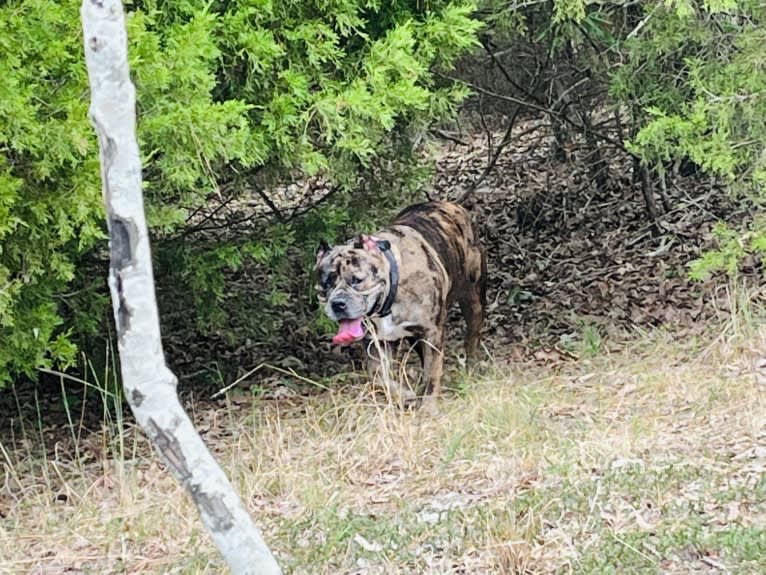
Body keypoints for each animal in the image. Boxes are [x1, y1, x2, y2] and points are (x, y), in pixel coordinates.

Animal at [316, 201, 486, 404]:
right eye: (326, 284)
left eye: (357, 280)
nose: (338, 303)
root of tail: (451, 205)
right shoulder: (376, 343)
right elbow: (379, 377)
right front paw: (406, 396)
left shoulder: (432, 333)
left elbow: (432, 375)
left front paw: (428, 407)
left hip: (473, 300)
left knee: (472, 337)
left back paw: (471, 368)